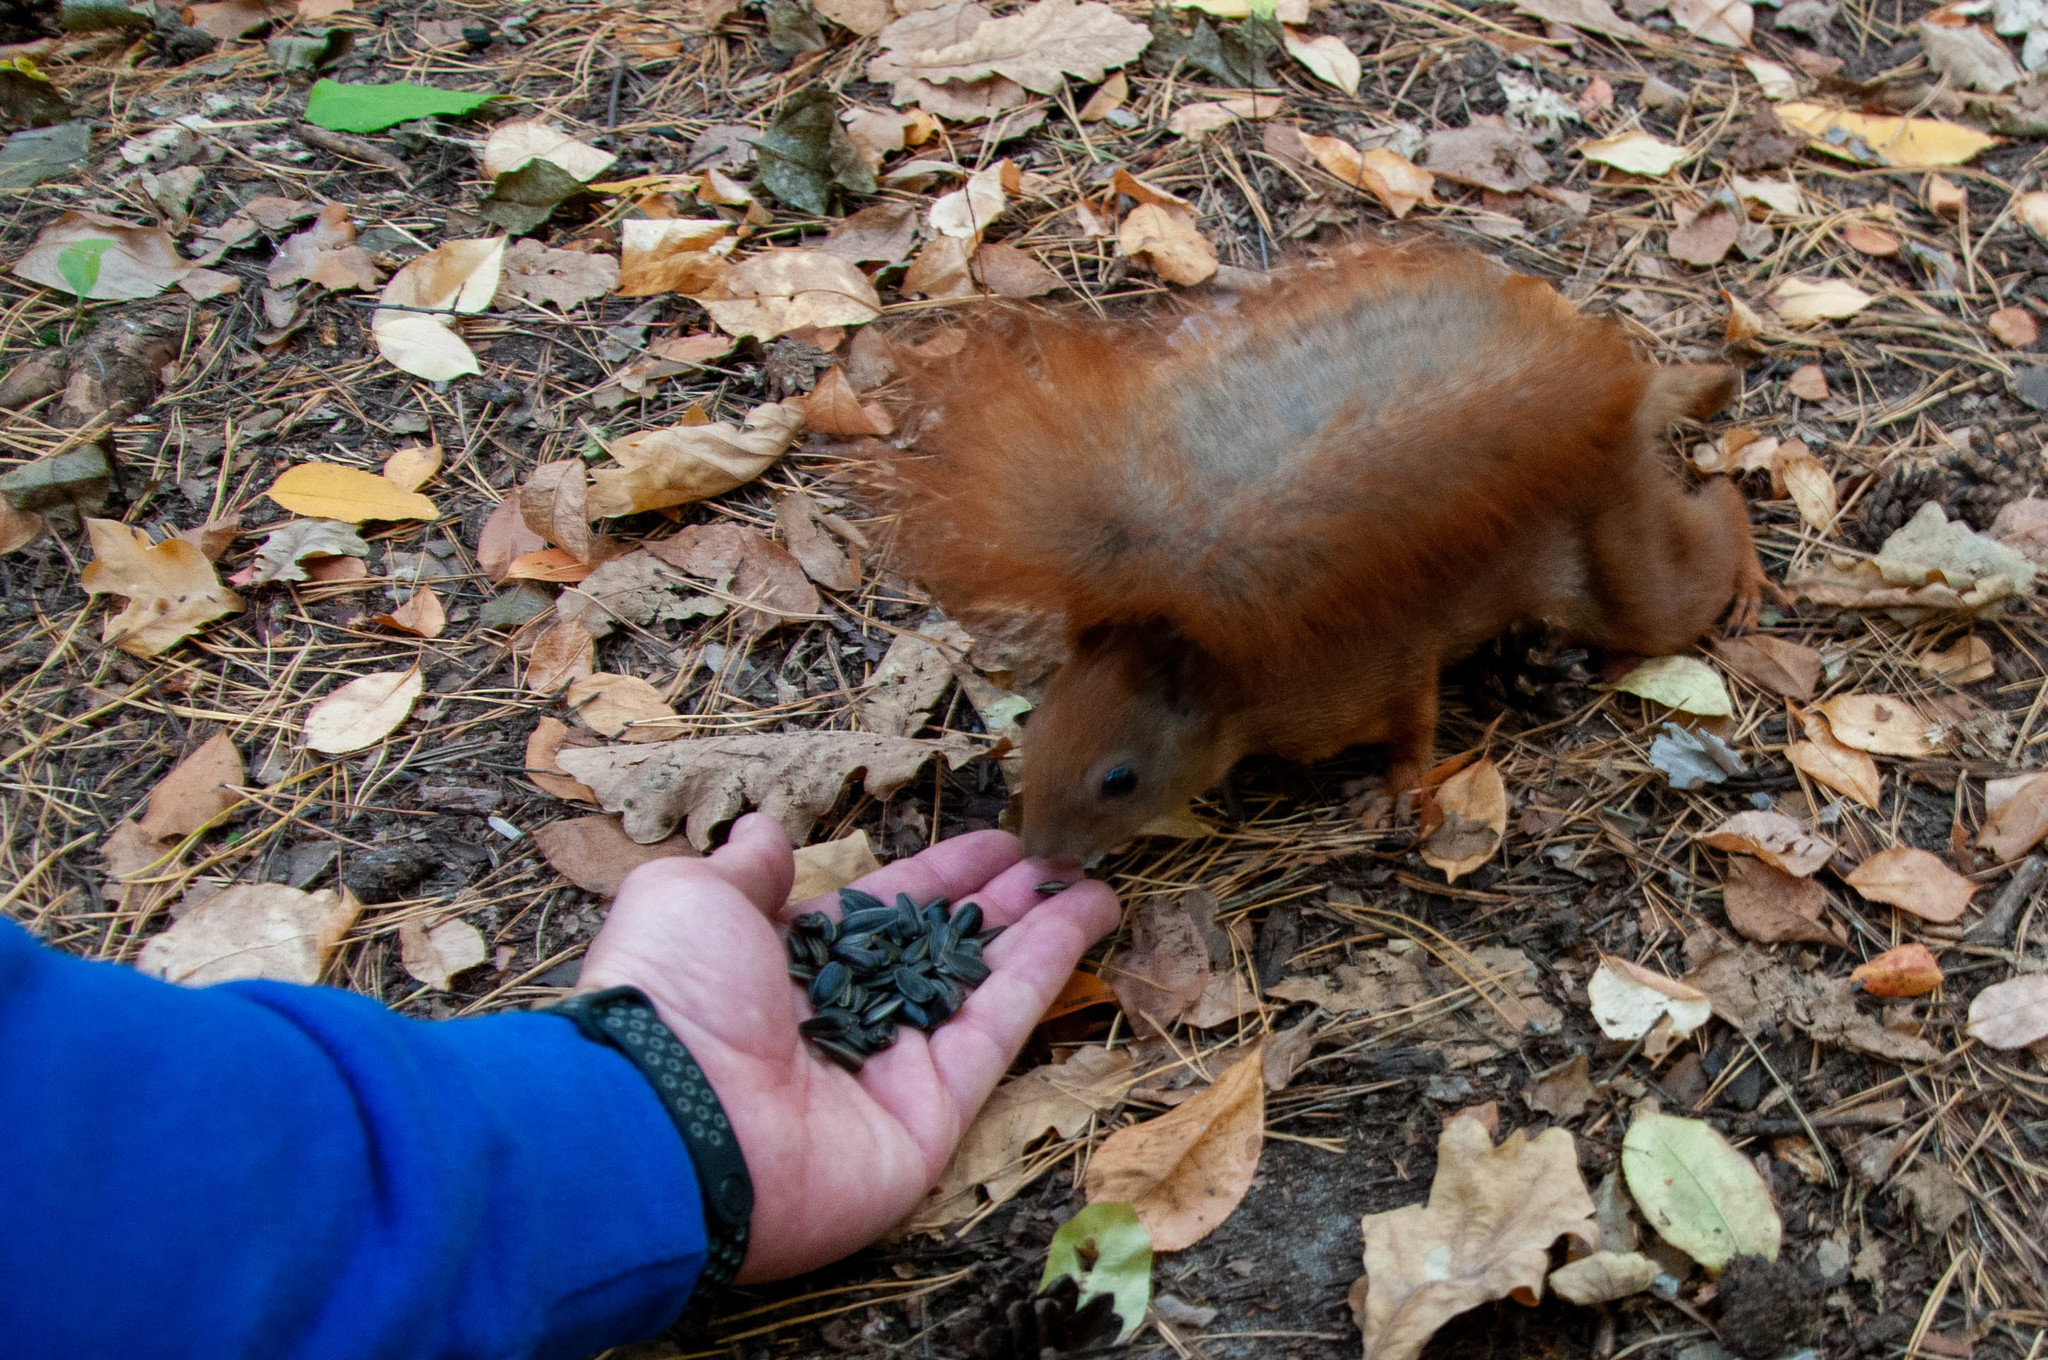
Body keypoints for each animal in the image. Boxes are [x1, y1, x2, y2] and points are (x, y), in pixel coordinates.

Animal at [880, 242, 1777, 860]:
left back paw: (1746, 579)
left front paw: (1391, 790)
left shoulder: (1388, 662)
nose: (1039, 860)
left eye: (1118, 779)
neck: (1238, 678)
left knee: (1713, 525)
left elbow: (1415, 726)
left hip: (1620, 567)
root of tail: (1625, 397)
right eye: (1034, 734)